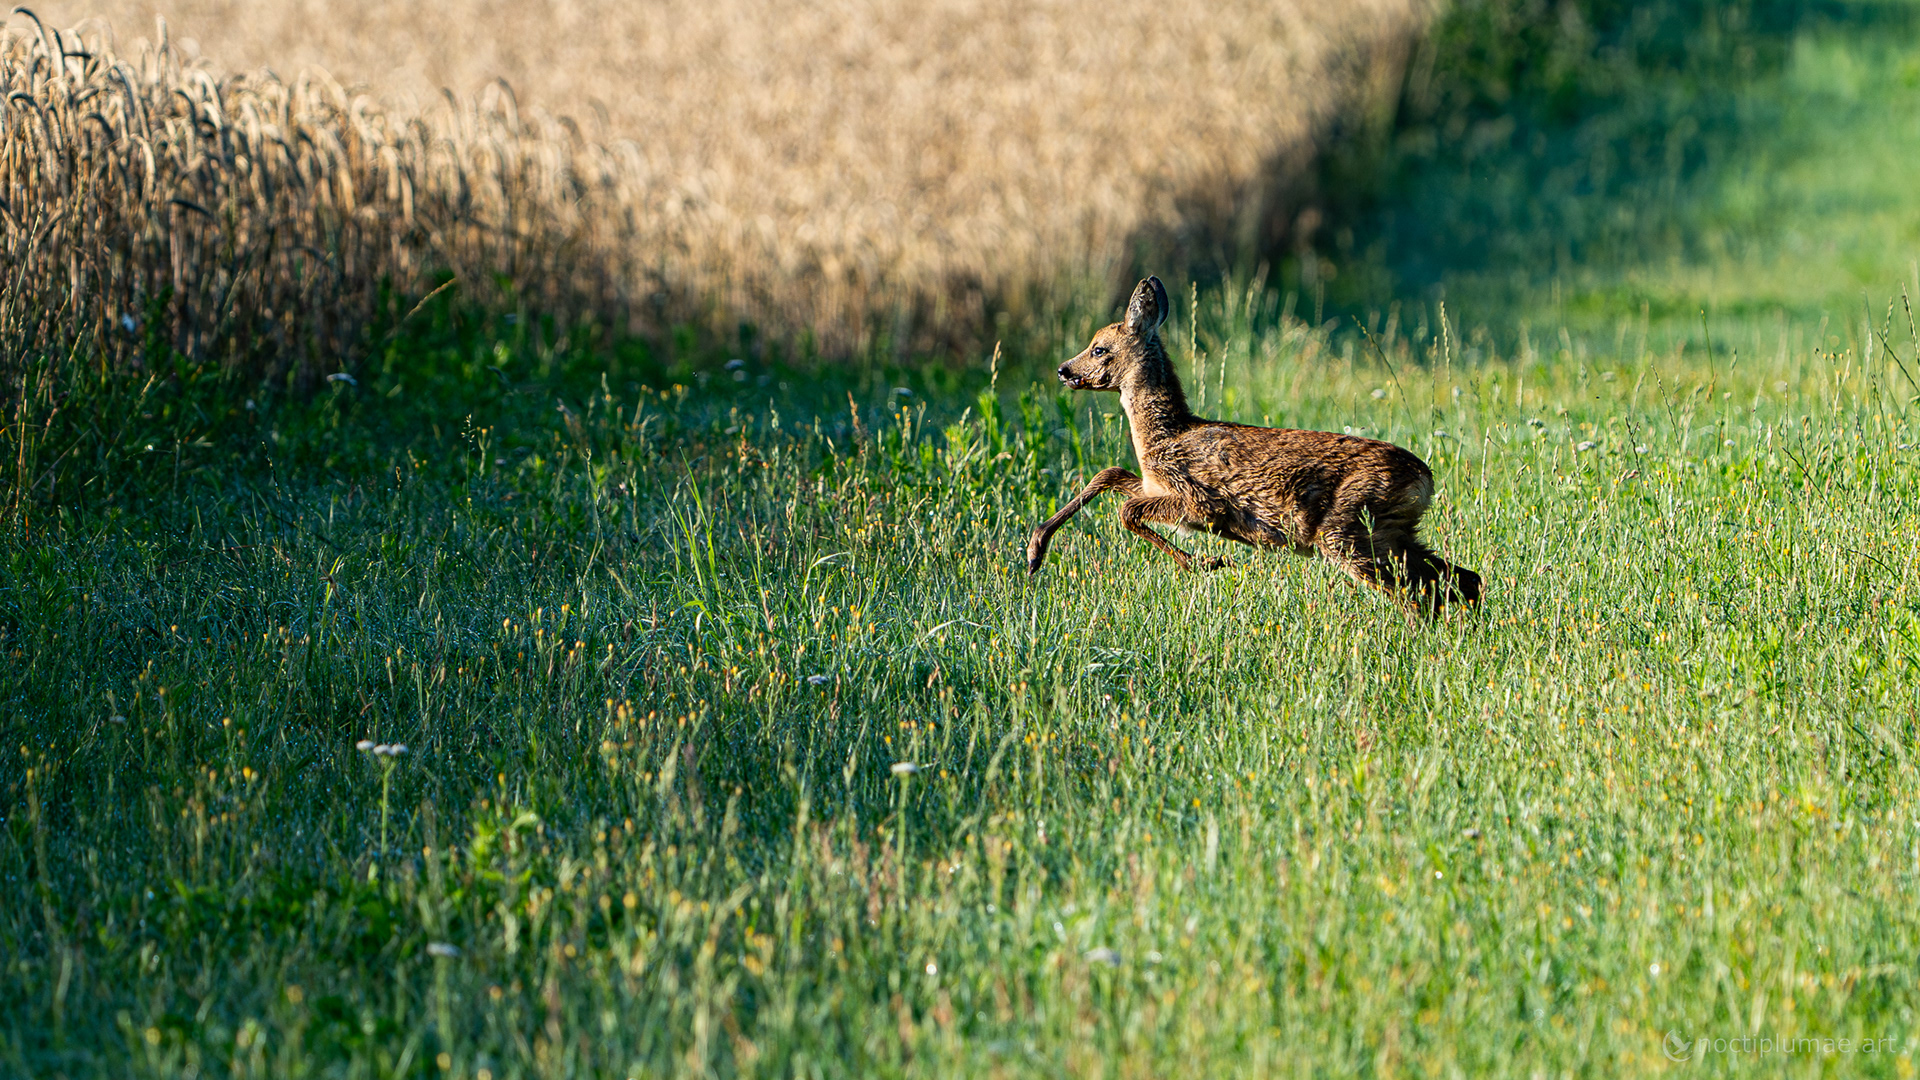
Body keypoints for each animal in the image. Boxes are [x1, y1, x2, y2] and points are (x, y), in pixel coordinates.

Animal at [1026, 276, 1481, 615]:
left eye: (1099, 348)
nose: (1064, 370)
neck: (1167, 436)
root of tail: (1424, 478)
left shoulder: (1199, 500)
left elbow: (1127, 511)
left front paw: (1208, 563)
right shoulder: (1154, 485)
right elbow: (1111, 474)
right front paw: (1034, 552)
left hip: (1347, 528)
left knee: (1414, 597)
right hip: (1391, 531)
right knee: (1462, 579)